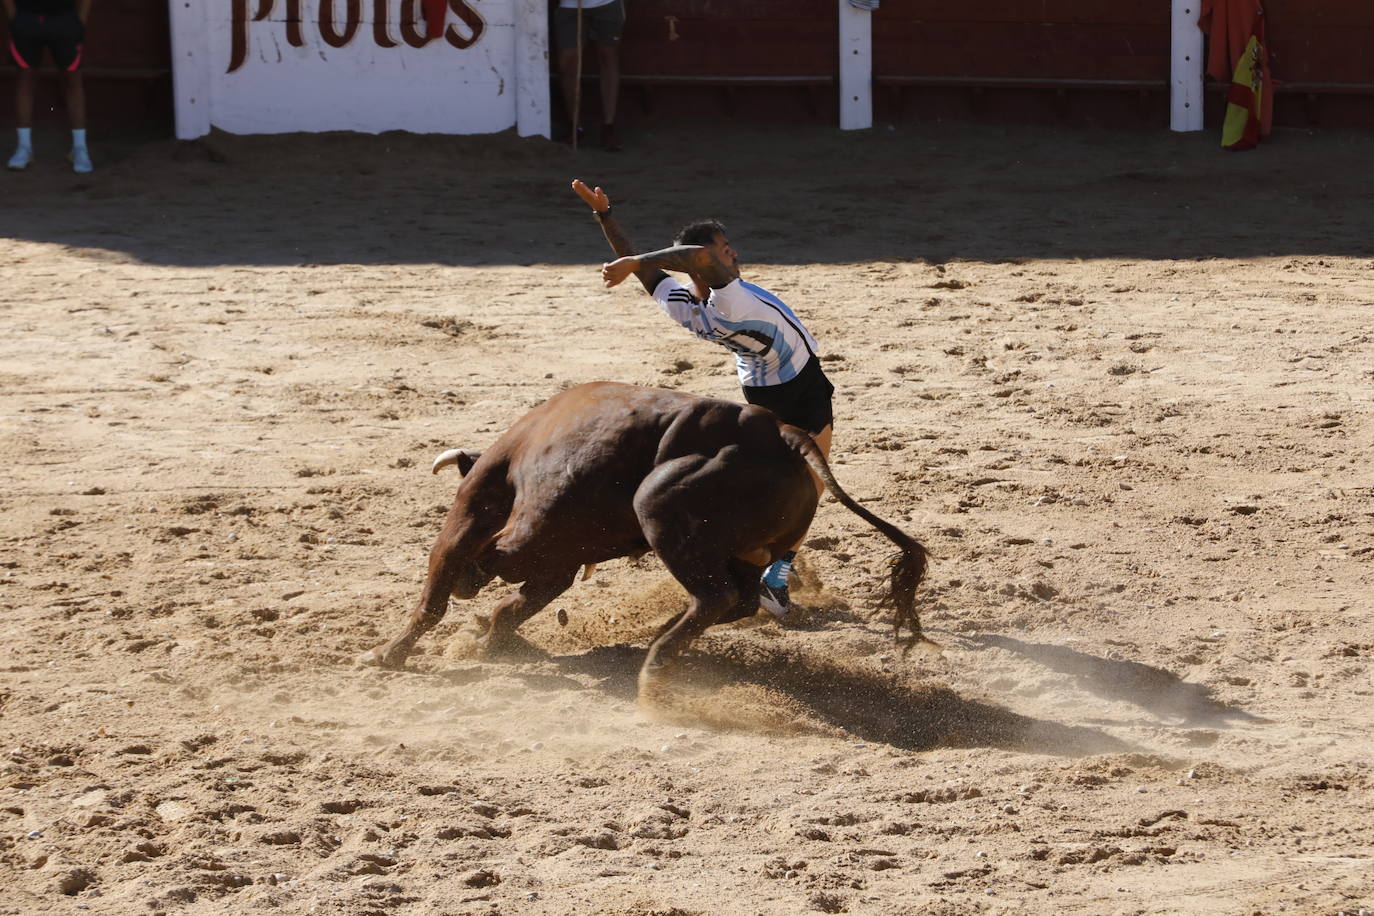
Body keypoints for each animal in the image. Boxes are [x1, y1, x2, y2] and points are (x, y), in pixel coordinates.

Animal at [362, 379, 934, 686]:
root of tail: (780, 433)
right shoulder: (558, 563)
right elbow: (515, 603)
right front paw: (491, 641)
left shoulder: (482, 518)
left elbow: (443, 588)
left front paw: (388, 654)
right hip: (739, 552)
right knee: (740, 598)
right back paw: (659, 643)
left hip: (657, 508)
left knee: (716, 596)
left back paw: (656, 661)